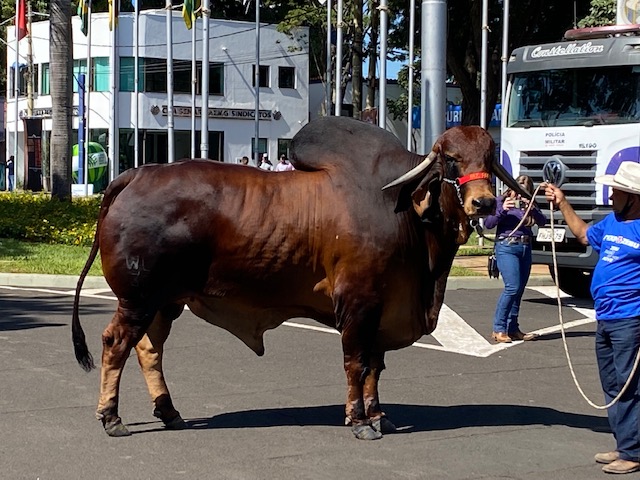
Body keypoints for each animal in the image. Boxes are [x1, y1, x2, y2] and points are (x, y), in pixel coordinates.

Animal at [71, 115, 520, 438]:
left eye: (489, 157)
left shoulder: (383, 307)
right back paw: (111, 417)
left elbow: (375, 366)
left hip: (166, 300)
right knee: (115, 344)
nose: (484, 203)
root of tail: (136, 174)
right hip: (138, 298)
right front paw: (359, 421)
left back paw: (169, 411)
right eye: (450, 159)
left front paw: (379, 415)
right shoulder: (358, 304)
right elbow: (356, 363)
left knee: (149, 349)